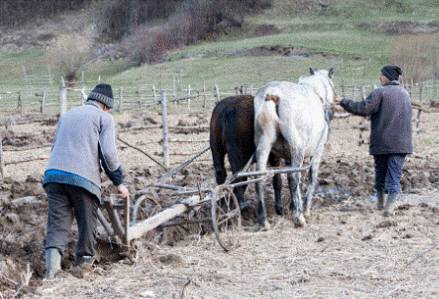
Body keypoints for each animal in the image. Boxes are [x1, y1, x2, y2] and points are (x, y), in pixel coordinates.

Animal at [254, 67, 336, 227]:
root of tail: (273, 94)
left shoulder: (286, 156)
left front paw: (292, 206)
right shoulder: (316, 153)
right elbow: (310, 178)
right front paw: (305, 209)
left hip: (264, 146)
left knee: (260, 177)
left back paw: (264, 219)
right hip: (297, 147)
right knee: (294, 177)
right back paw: (299, 217)